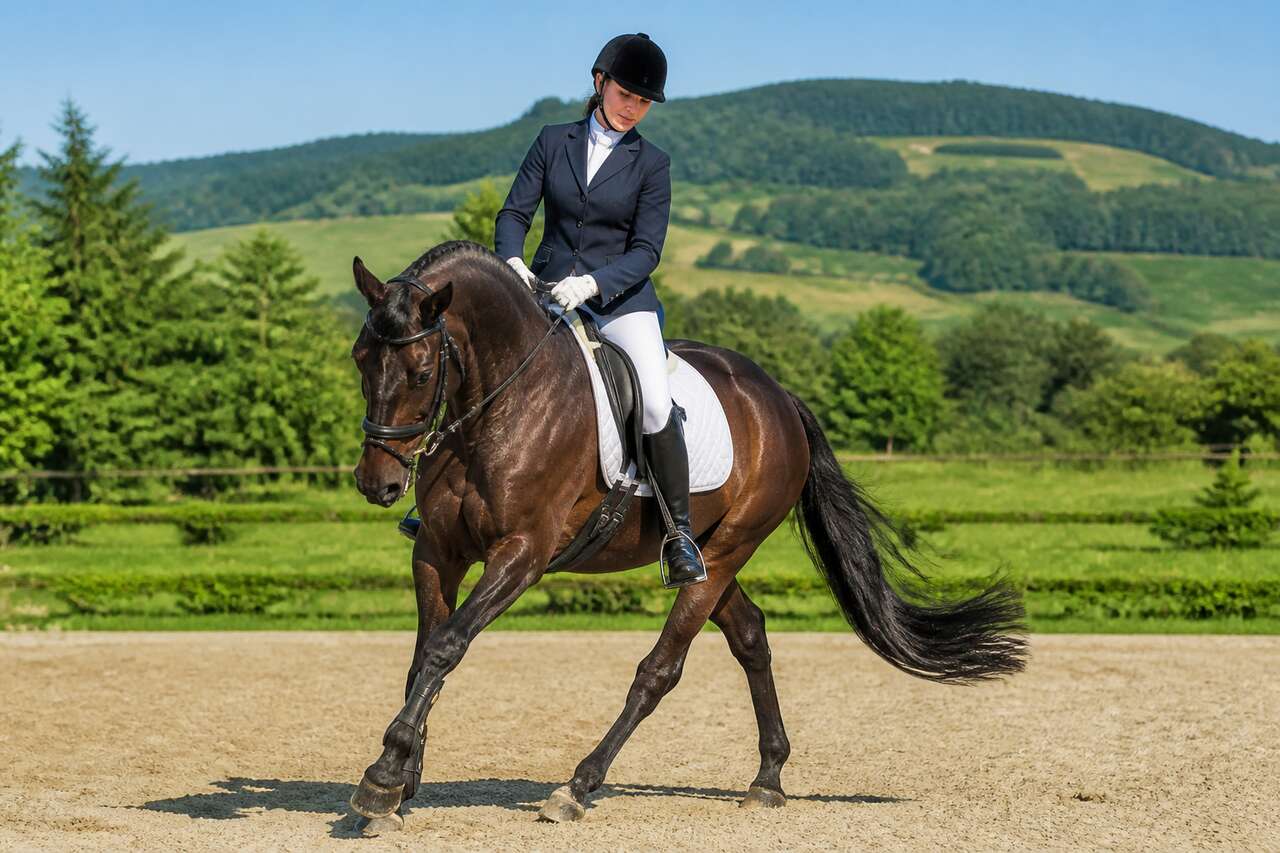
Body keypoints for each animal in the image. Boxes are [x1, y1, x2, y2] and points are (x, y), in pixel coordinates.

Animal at [347, 240, 1026, 832]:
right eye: (360, 358)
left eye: (421, 372)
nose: (378, 483)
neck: (499, 405)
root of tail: (778, 397)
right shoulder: (437, 552)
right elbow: (423, 654)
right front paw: (401, 782)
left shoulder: (521, 555)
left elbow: (447, 646)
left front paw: (384, 775)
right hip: (707, 555)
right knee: (749, 633)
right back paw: (768, 778)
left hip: (729, 549)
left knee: (661, 669)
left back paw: (578, 787)